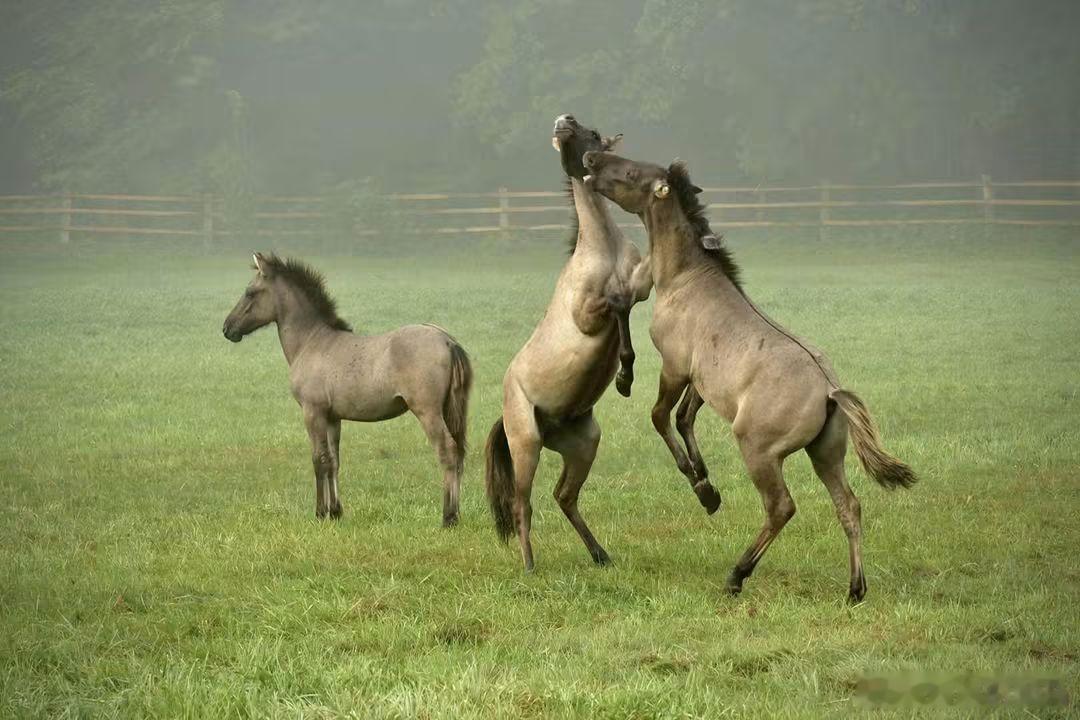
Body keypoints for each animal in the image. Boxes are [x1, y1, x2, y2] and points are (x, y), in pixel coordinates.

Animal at [223, 253, 472, 527]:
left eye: (250, 292)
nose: (227, 328)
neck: (311, 342)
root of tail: (448, 341)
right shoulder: (333, 417)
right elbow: (334, 461)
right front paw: (335, 512)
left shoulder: (313, 412)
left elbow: (319, 459)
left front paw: (320, 513)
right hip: (449, 409)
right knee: (459, 454)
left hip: (428, 411)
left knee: (447, 452)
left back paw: (449, 517)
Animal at [484, 115, 652, 571]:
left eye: (593, 133)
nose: (564, 121)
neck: (603, 250)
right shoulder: (588, 314)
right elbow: (617, 305)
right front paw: (624, 377)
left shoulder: (641, 288)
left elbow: (629, 302)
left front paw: (625, 376)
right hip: (526, 444)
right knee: (522, 502)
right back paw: (529, 564)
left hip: (583, 445)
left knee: (564, 496)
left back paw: (600, 554)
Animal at [582, 150, 916, 602]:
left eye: (632, 171)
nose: (591, 157)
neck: (686, 278)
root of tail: (830, 392)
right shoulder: (702, 382)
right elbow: (685, 417)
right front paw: (705, 480)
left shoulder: (675, 367)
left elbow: (661, 417)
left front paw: (702, 489)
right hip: (826, 453)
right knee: (849, 505)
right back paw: (854, 590)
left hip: (758, 450)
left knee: (781, 507)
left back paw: (737, 575)